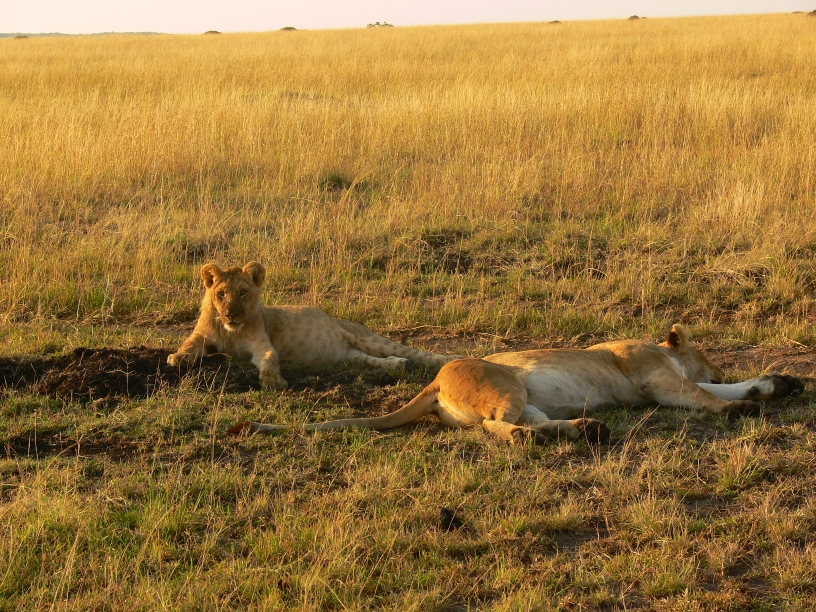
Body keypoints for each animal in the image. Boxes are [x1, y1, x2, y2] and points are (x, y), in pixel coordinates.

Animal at [167, 262, 461, 390]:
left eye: (242, 292)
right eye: (220, 294)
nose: (230, 315)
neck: (232, 332)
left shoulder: (262, 344)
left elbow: (270, 359)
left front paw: (273, 380)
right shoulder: (202, 336)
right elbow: (189, 344)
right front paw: (178, 358)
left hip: (368, 338)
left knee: (418, 353)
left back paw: (449, 359)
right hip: (350, 354)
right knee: (370, 359)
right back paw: (398, 365)